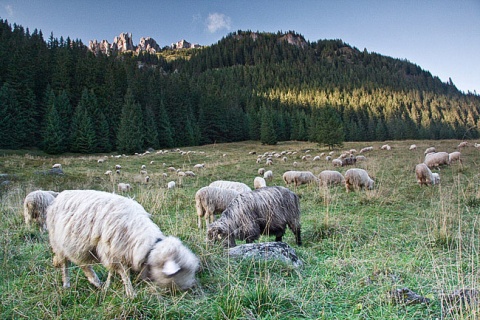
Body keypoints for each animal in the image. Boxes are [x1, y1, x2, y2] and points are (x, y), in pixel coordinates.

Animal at [46, 190, 199, 298]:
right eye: (180, 272)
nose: (189, 288)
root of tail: (59, 195)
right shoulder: (113, 251)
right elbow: (124, 274)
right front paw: (131, 294)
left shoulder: (113, 253)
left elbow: (111, 271)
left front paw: (108, 285)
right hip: (58, 243)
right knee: (67, 265)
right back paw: (69, 284)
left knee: (82, 264)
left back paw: (96, 282)